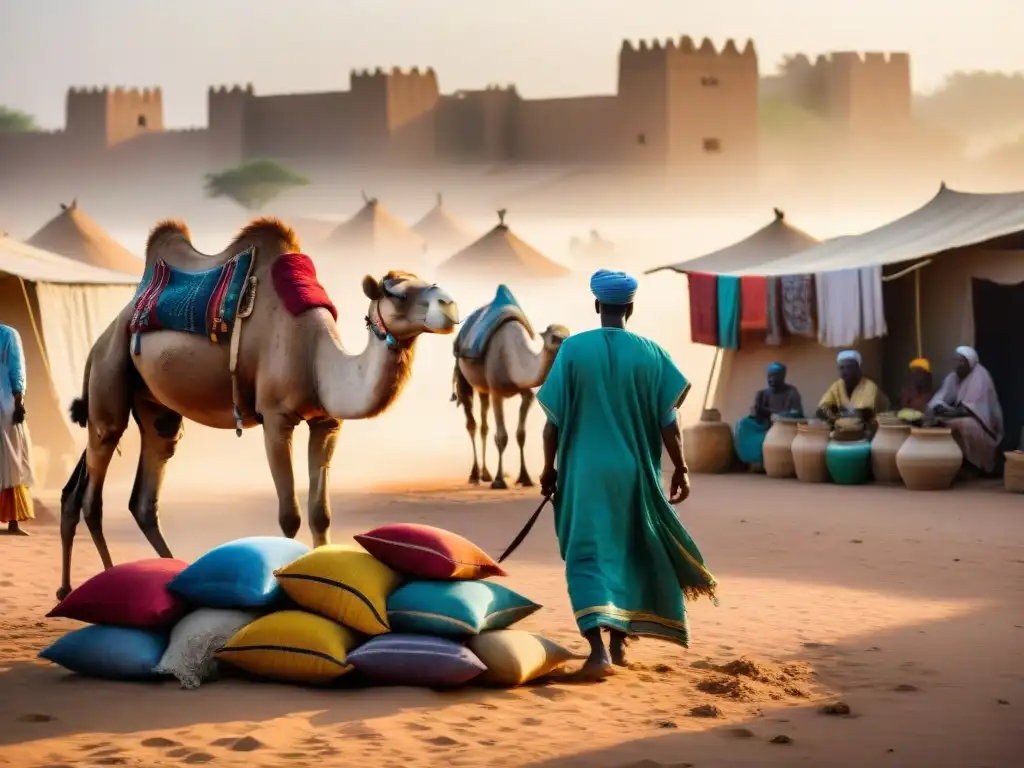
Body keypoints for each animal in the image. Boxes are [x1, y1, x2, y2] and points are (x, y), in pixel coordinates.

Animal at [56, 217, 456, 602]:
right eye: (396, 293)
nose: (450, 305)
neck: (315, 358)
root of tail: (102, 338)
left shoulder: (326, 423)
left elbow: (321, 515)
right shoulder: (276, 420)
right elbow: (290, 516)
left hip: (156, 408)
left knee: (139, 495)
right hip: (109, 373)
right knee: (94, 487)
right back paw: (104, 580)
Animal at [454, 303, 569, 489]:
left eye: (568, 334)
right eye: (554, 336)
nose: (565, 343)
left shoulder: (526, 393)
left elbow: (521, 434)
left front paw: (525, 478)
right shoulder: (497, 391)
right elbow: (502, 436)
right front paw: (499, 481)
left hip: (483, 388)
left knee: (484, 424)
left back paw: (485, 474)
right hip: (463, 376)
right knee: (471, 423)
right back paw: (474, 475)